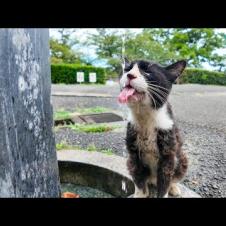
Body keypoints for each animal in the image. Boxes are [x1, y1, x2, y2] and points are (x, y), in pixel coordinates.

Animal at [118, 58, 189, 198]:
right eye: (127, 69)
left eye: (147, 71)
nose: (130, 75)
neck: (146, 117)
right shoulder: (134, 155)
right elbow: (139, 181)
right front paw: (140, 194)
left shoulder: (168, 155)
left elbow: (165, 182)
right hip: (129, 162)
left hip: (182, 159)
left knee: (173, 177)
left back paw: (174, 188)